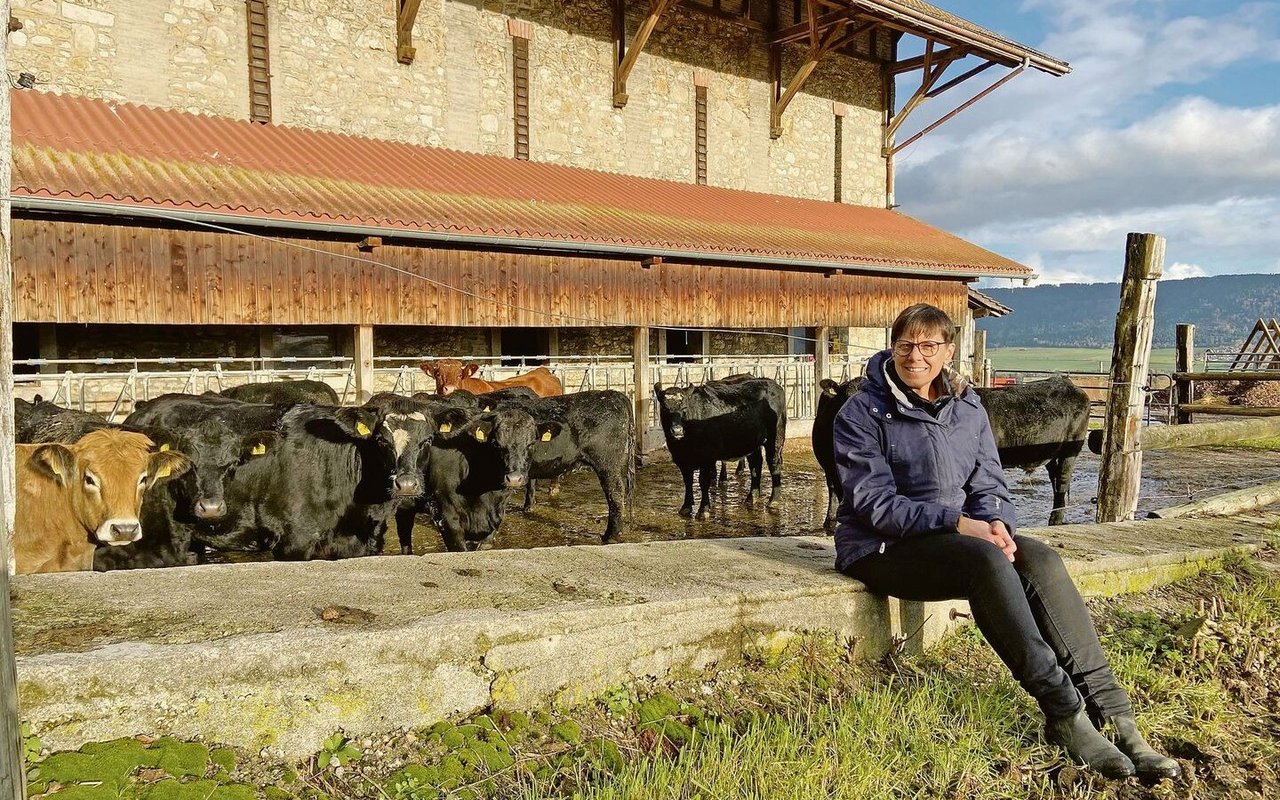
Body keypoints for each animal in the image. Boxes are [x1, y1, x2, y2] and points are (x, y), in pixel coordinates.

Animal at [486, 389, 632, 540]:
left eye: (530, 444)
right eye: (497, 444)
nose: (514, 478)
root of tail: (612, 394)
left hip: (607, 463)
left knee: (615, 491)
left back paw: (611, 535)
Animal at [655, 378, 783, 522]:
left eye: (684, 408)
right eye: (664, 408)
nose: (677, 431)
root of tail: (772, 383)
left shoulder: (706, 458)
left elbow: (703, 481)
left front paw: (703, 510)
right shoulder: (682, 460)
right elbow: (688, 481)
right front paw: (686, 507)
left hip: (775, 437)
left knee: (774, 463)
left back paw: (774, 500)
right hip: (752, 442)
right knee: (756, 465)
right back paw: (752, 497)